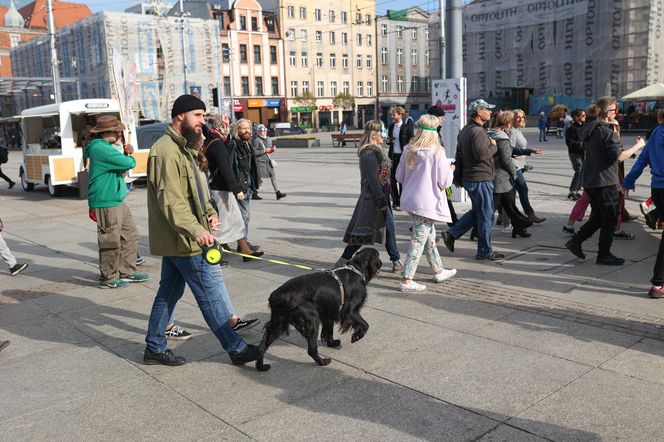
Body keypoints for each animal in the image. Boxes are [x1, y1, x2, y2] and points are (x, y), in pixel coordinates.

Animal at [254, 249, 382, 370]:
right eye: (379, 256)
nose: (381, 263)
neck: (356, 269)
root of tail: (275, 296)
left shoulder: (328, 312)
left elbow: (329, 331)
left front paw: (332, 343)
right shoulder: (349, 311)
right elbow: (365, 325)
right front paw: (356, 336)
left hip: (279, 322)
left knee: (263, 345)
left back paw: (261, 367)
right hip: (312, 319)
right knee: (311, 349)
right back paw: (323, 362)